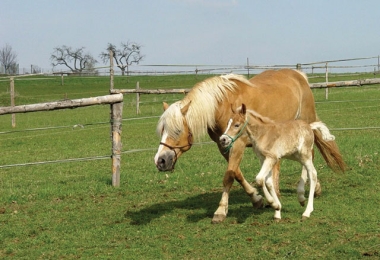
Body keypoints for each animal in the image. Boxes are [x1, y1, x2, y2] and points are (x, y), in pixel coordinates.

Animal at [153, 69, 346, 223]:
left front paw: (220, 211)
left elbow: (229, 175)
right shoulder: (224, 146)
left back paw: (303, 193)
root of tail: (299, 75)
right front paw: (257, 199)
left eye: (177, 130)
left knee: (310, 156)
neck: (221, 105)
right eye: (161, 130)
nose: (160, 161)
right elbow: (236, 173)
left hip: (306, 123)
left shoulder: (237, 143)